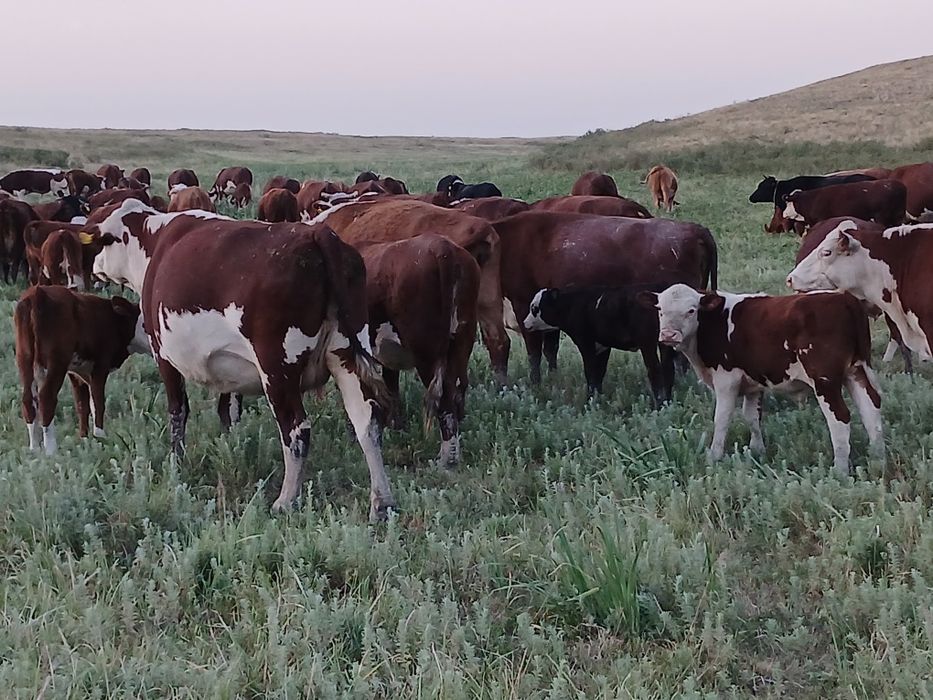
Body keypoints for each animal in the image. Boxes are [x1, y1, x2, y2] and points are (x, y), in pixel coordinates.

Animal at [14, 285, 149, 453]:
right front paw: (100, 437)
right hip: (56, 361)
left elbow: (82, 404)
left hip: (24, 358)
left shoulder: (77, 372)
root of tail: (36, 292)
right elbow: (97, 402)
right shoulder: (100, 366)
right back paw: (51, 450)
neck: (114, 321)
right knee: (46, 398)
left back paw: (34, 449)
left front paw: (84, 439)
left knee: (28, 399)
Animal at [87, 200, 396, 519]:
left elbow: (177, 413)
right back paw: (381, 502)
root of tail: (317, 235)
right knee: (367, 420)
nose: (95, 267)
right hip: (346, 356)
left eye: (103, 241)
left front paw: (176, 464)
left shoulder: (164, 356)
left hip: (278, 368)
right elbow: (229, 412)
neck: (153, 240)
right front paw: (231, 449)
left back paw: (286, 499)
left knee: (297, 430)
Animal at [357, 234, 480, 467]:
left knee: (444, 397)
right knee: (457, 387)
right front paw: (395, 428)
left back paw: (445, 460)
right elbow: (391, 388)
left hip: (427, 352)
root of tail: (442, 247)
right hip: (462, 338)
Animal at [524, 283, 676, 406]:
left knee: (654, 370)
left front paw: (590, 400)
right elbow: (600, 372)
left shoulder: (586, 343)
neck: (572, 305)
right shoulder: (603, 346)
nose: (525, 323)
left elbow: (590, 372)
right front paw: (598, 398)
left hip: (647, 344)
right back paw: (668, 402)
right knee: (668, 369)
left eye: (535, 308)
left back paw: (659, 404)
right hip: (665, 344)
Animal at [643, 283, 884, 474]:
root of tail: (843, 297)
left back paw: (840, 471)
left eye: (691, 310)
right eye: (660, 310)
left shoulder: (726, 380)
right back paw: (877, 458)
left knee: (840, 419)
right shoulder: (753, 383)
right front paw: (757, 451)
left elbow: (721, 419)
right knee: (871, 409)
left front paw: (714, 457)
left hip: (826, 381)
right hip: (857, 370)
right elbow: (752, 417)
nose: (668, 335)